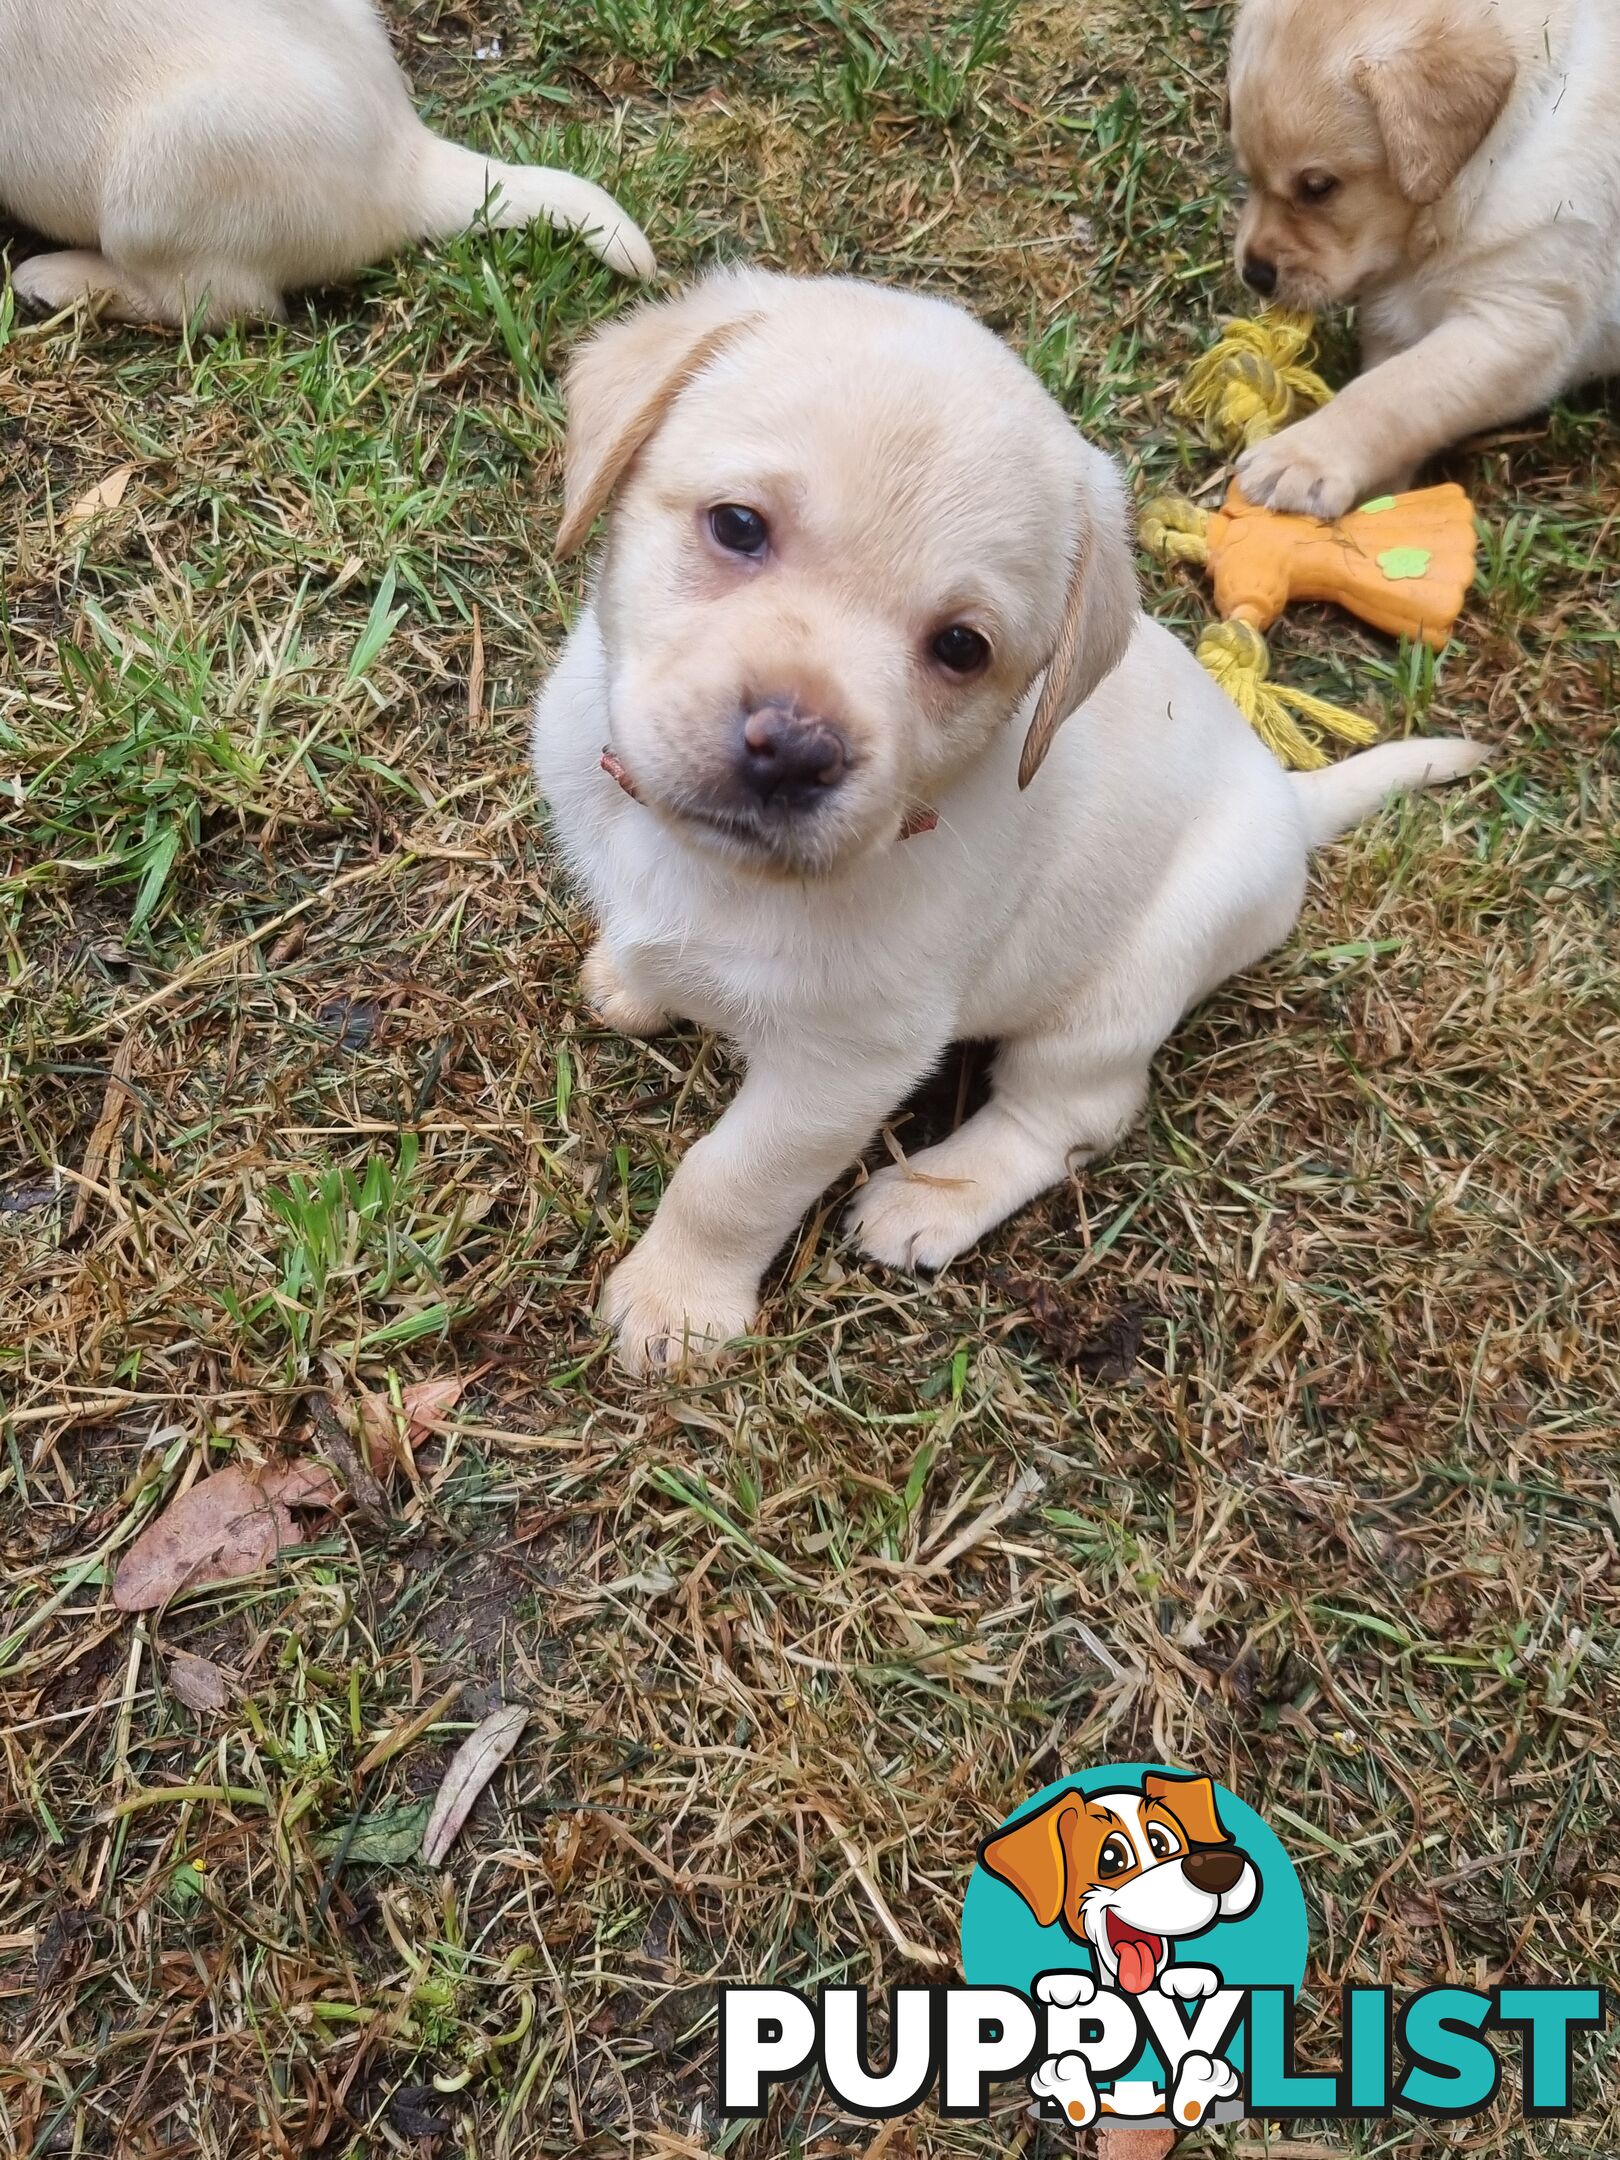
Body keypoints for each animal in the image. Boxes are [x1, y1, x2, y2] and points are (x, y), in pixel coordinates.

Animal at [540, 270, 1494, 1373]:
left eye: (961, 647)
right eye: (737, 525)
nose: (795, 748)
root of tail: (1286, 798)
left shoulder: (844, 1062)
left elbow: (730, 1178)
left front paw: (677, 1305)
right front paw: (637, 979)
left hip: (1122, 991)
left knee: (1073, 1115)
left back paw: (931, 1197)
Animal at [1226, 0, 1620, 518]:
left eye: (1317, 186)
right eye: (1246, 175)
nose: (1254, 274)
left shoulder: (1520, 323)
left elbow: (1394, 392)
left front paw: (1300, 457)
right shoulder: (1395, 326)